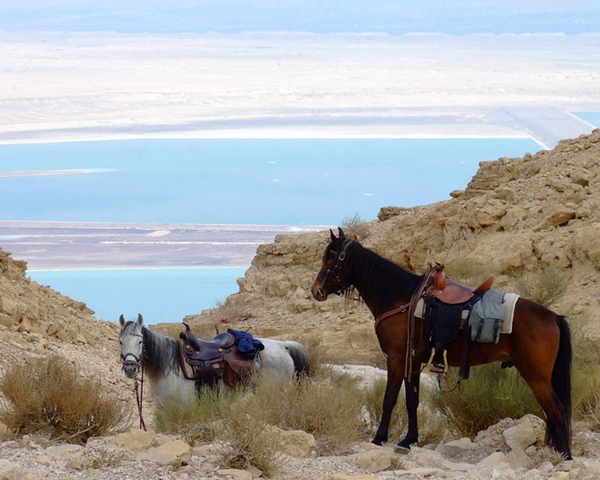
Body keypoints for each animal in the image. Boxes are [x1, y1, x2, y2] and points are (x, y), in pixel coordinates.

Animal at [310, 228, 572, 458]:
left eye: (331, 256)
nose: (316, 290)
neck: (400, 298)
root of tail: (553, 317)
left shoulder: (396, 358)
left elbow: (389, 399)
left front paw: (379, 438)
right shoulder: (413, 361)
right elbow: (412, 400)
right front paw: (408, 440)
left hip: (537, 377)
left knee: (557, 412)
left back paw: (565, 456)